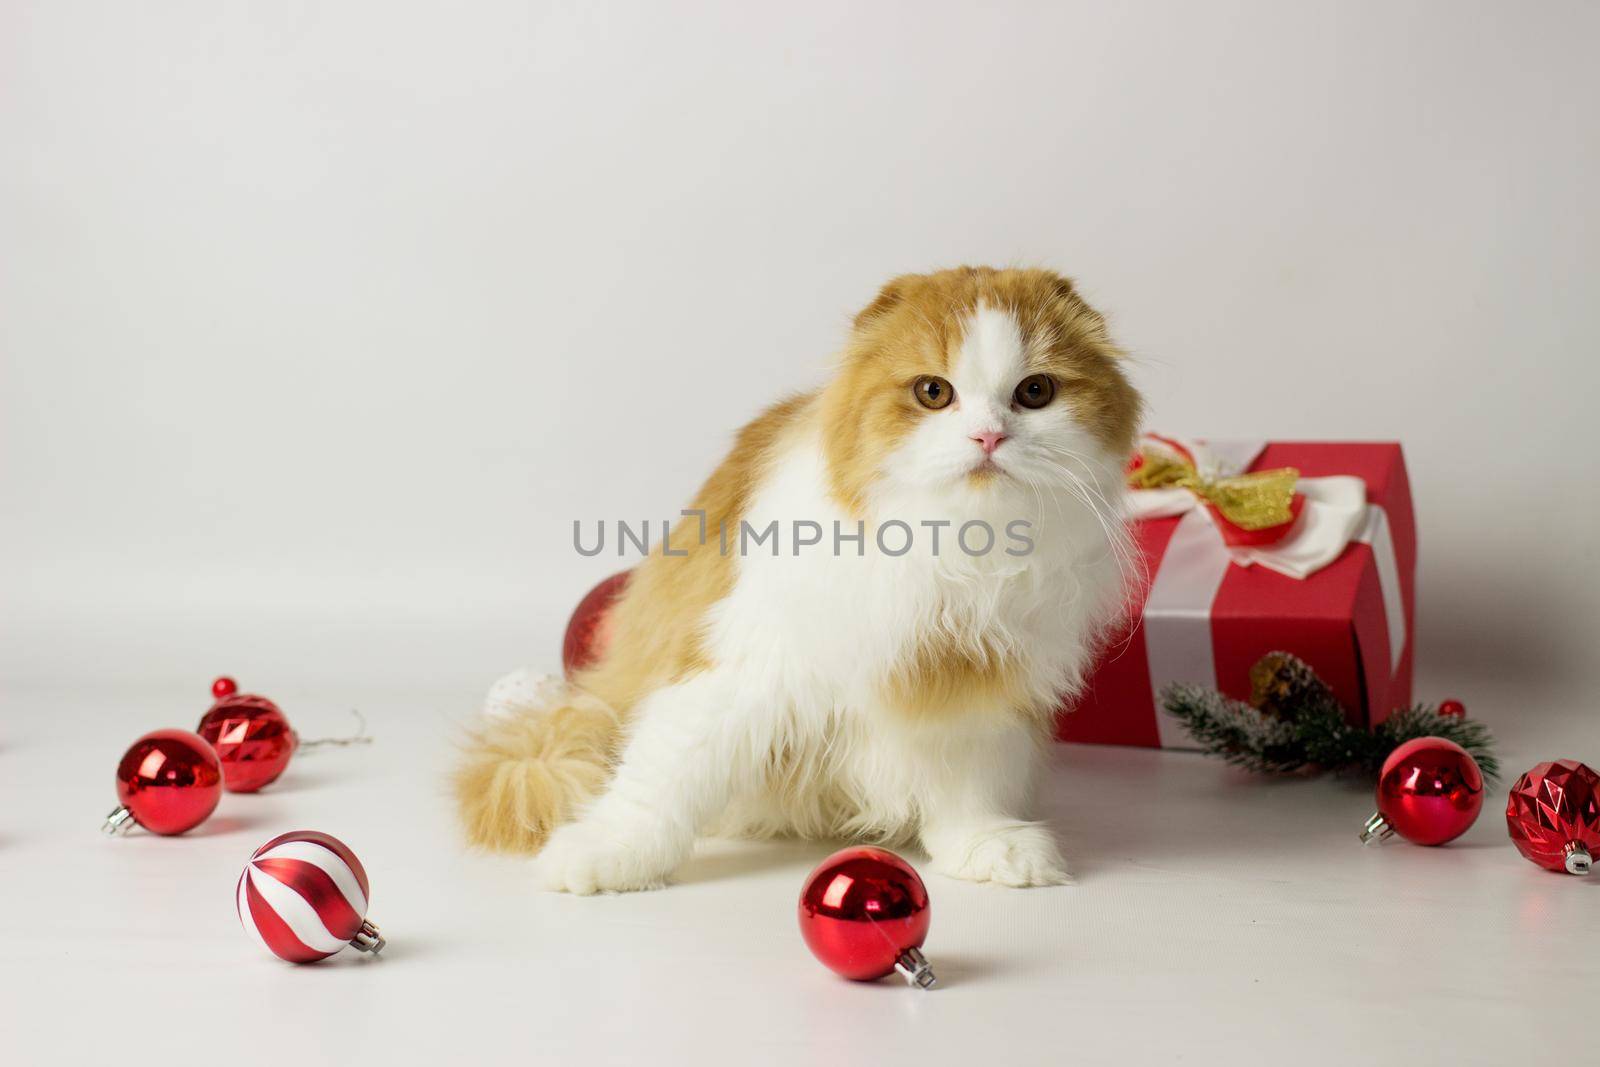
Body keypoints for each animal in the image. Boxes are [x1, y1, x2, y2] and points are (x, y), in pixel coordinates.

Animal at [457, 267, 1145, 895]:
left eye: (1035, 392)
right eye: (933, 392)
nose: (989, 436)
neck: (953, 550)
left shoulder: (971, 679)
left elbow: (967, 781)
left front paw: (986, 845)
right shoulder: (741, 664)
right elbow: (665, 777)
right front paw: (608, 852)